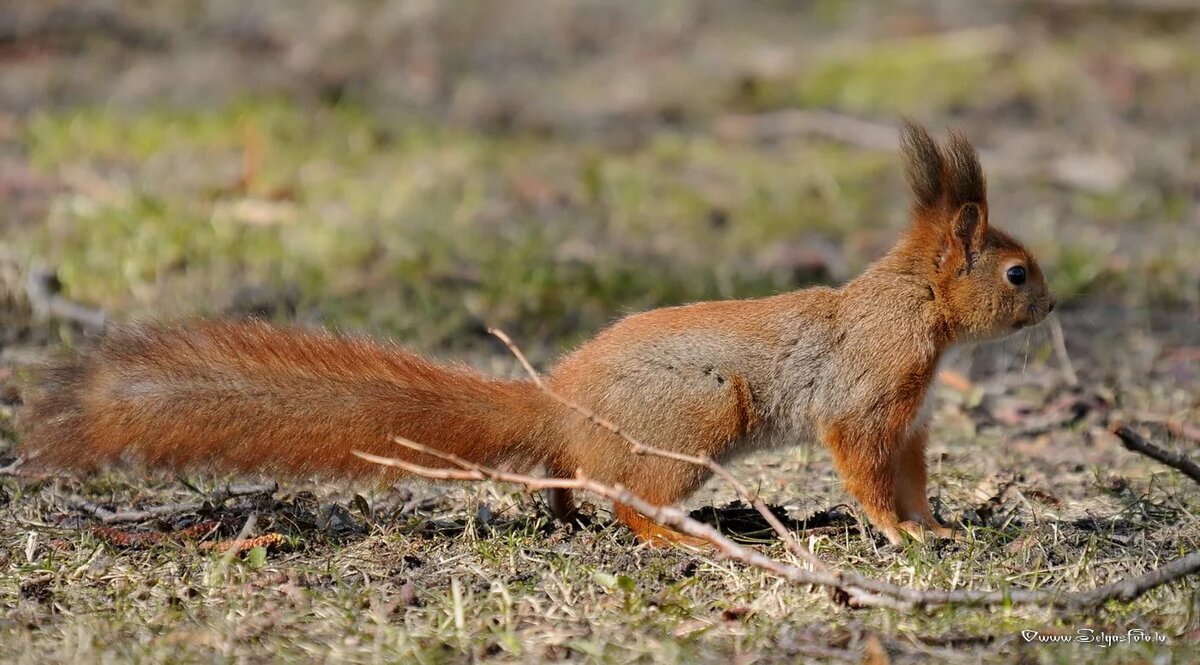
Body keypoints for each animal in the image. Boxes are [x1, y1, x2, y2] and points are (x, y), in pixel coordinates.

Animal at [18, 122, 1053, 547]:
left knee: (576, 483)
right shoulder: (869, 395)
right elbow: (864, 467)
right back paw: (678, 535)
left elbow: (910, 474)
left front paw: (934, 524)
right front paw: (896, 531)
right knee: (628, 496)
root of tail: (560, 403)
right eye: (1016, 273)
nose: (1050, 309)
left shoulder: (913, 417)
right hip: (696, 416)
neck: (915, 308)